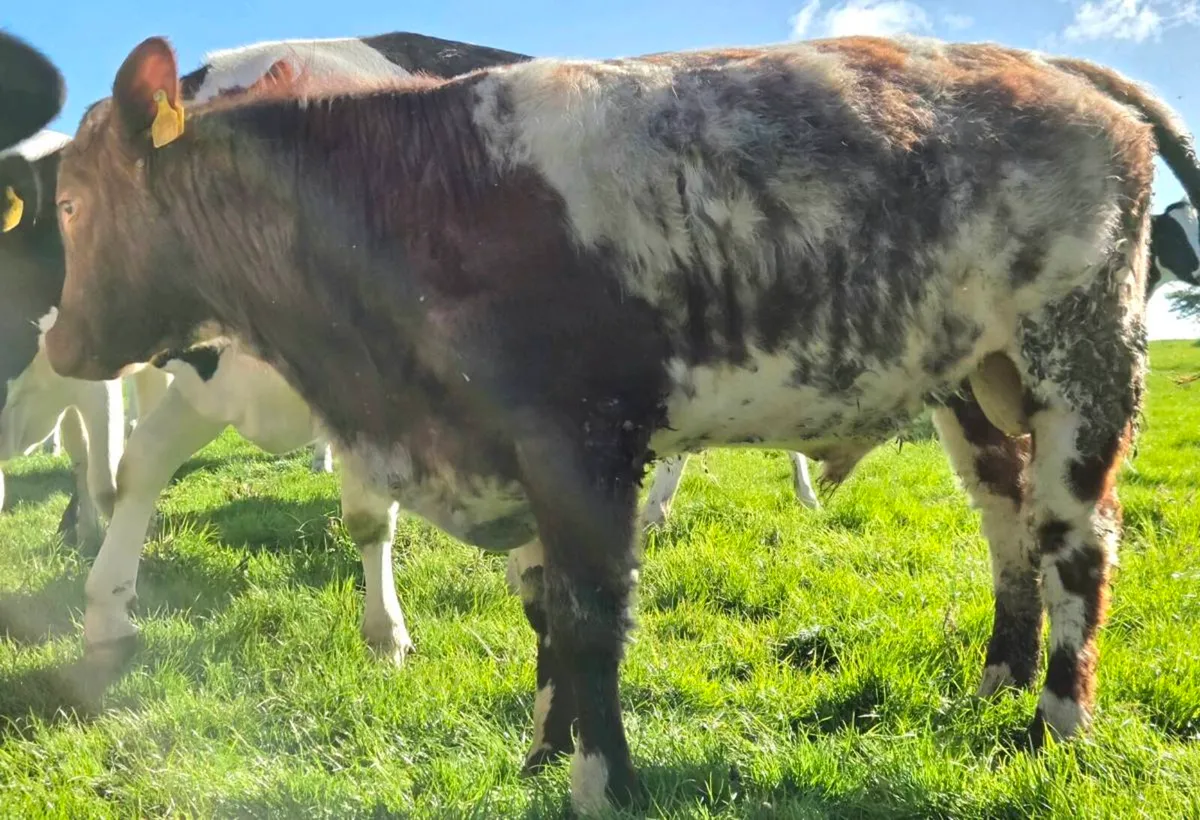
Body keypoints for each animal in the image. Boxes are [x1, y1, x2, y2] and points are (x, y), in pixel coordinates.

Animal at [41, 34, 1200, 813]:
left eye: (72, 205)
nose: (60, 346)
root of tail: (1052, 70)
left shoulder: (583, 442)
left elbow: (590, 617)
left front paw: (602, 778)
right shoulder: (515, 455)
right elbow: (547, 612)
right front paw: (543, 751)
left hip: (1081, 362)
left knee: (1075, 543)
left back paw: (1056, 723)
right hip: (977, 385)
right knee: (1008, 528)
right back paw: (999, 677)